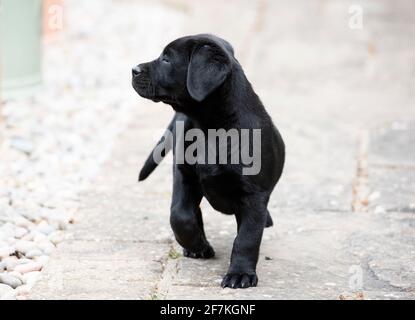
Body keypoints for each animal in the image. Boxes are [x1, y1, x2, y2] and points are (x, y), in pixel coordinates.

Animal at [133, 33, 286, 288]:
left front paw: (240, 274)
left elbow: (247, 238)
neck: (210, 128)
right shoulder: (185, 176)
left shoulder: (254, 194)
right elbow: (180, 215)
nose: (133, 69)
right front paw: (197, 245)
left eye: (166, 58)